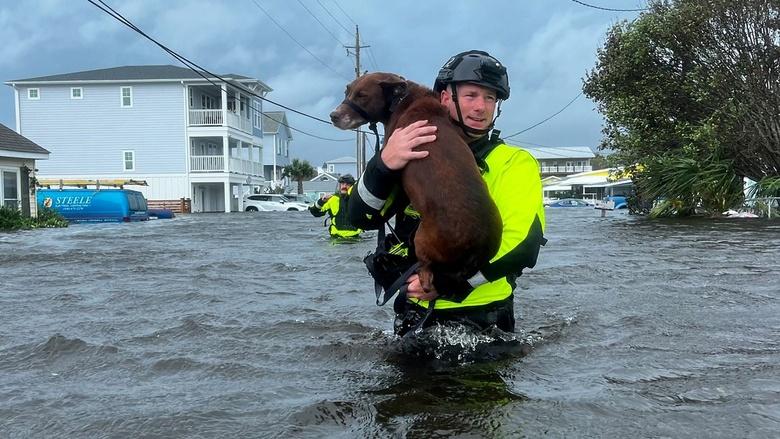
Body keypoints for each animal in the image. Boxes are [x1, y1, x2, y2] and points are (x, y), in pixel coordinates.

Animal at [328, 73, 500, 300]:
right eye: (346, 91)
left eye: (362, 96)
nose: (333, 115)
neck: (404, 98)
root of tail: (473, 248)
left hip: (421, 240)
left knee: (426, 273)